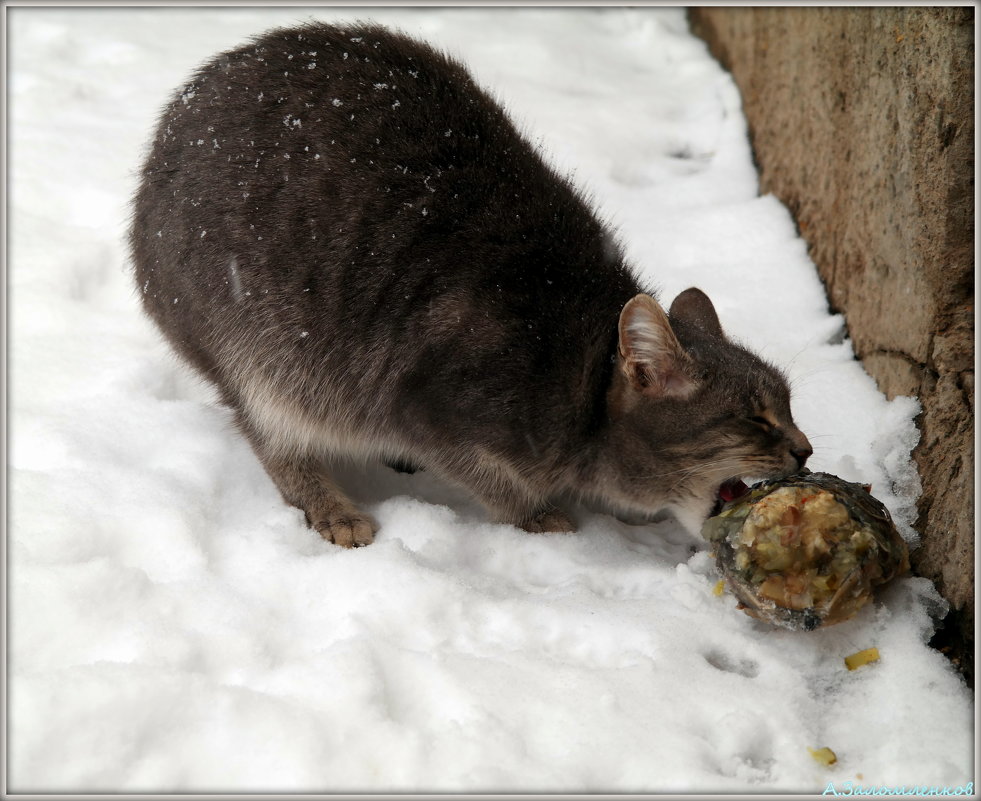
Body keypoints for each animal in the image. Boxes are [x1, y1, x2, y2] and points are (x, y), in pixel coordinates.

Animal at [128, 21, 812, 548]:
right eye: (753, 418)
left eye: (788, 403)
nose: (806, 451)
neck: (579, 368)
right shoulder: (430, 412)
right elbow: (500, 486)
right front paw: (544, 518)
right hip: (261, 360)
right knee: (270, 438)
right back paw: (332, 507)